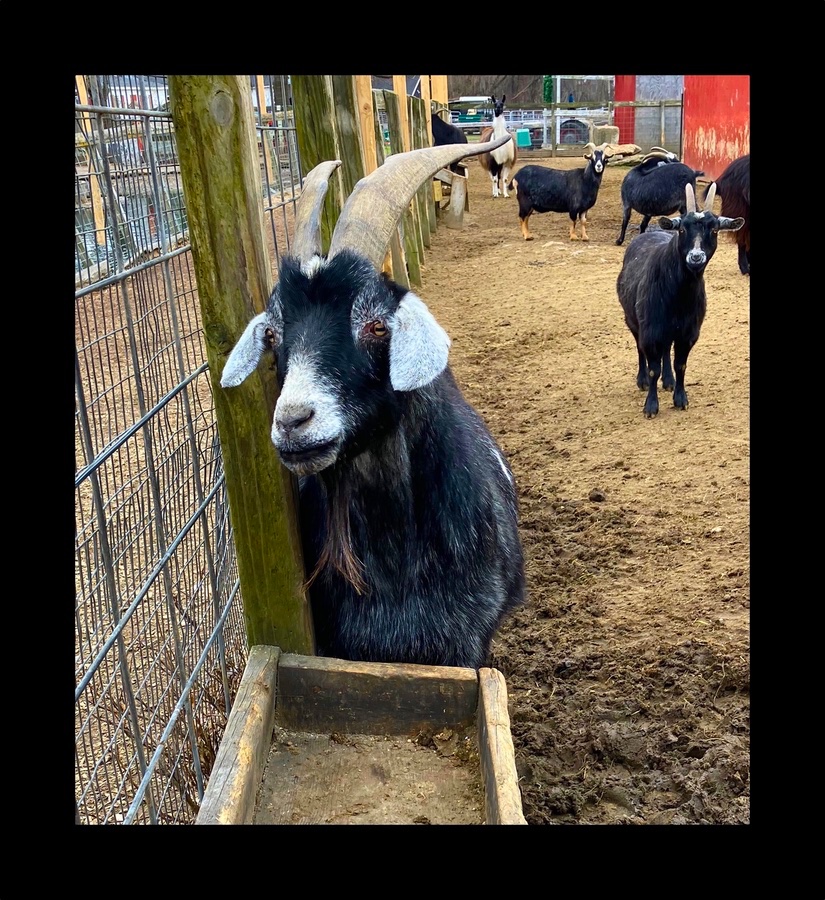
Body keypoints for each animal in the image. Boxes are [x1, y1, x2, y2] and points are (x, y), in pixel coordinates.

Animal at [616, 182, 744, 418]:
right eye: (682, 229)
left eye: (714, 230)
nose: (696, 257)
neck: (679, 295)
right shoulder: (651, 330)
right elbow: (653, 368)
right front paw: (651, 406)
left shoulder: (688, 332)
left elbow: (680, 365)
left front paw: (680, 398)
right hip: (632, 320)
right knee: (639, 348)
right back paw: (642, 381)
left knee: (666, 350)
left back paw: (669, 381)